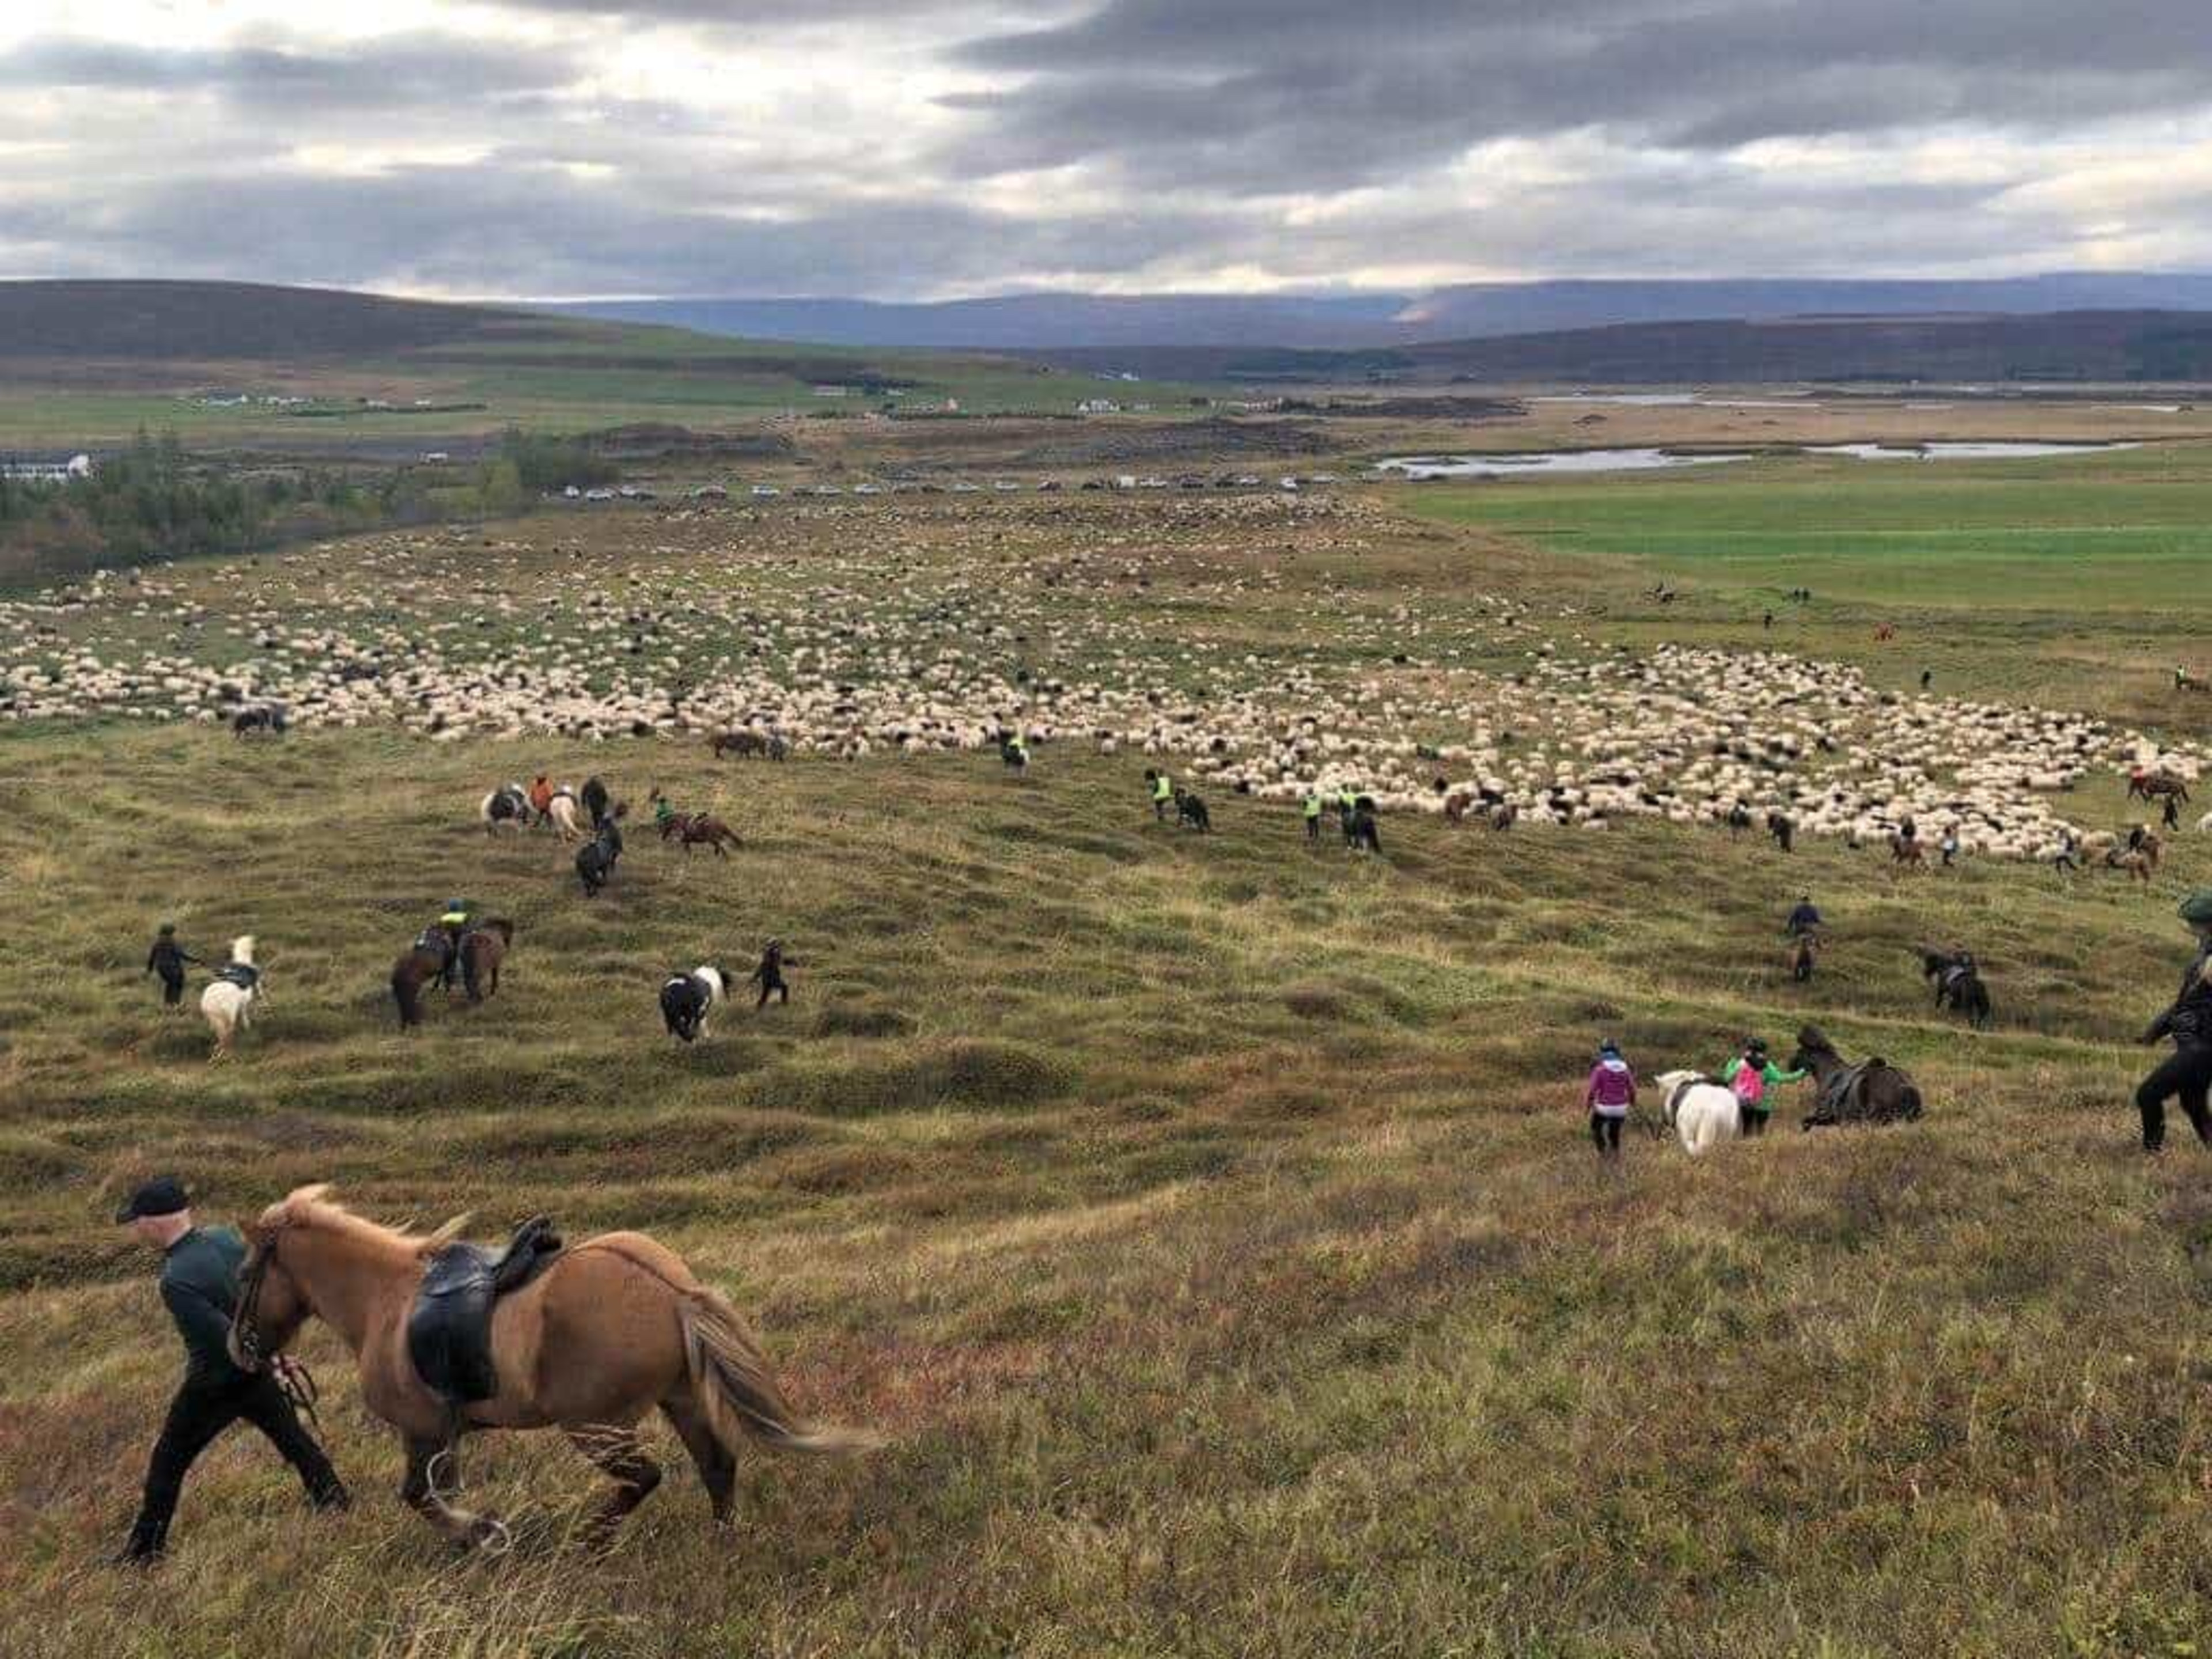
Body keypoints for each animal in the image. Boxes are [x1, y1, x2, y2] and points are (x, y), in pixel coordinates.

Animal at [202, 938, 262, 1066]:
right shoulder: (243, 1004)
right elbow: (245, 1015)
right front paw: (247, 1027)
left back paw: (217, 1053)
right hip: (228, 1015)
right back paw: (227, 1055)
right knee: (227, 1036)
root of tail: (212, 1001)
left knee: (221, 1036)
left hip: (216, 1018)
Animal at [659, 968, 730, 1044]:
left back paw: (706, 1037)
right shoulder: (669, 1016)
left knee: (703, 1022)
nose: (692, 1037)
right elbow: (671, 1029)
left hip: (702, 1011)